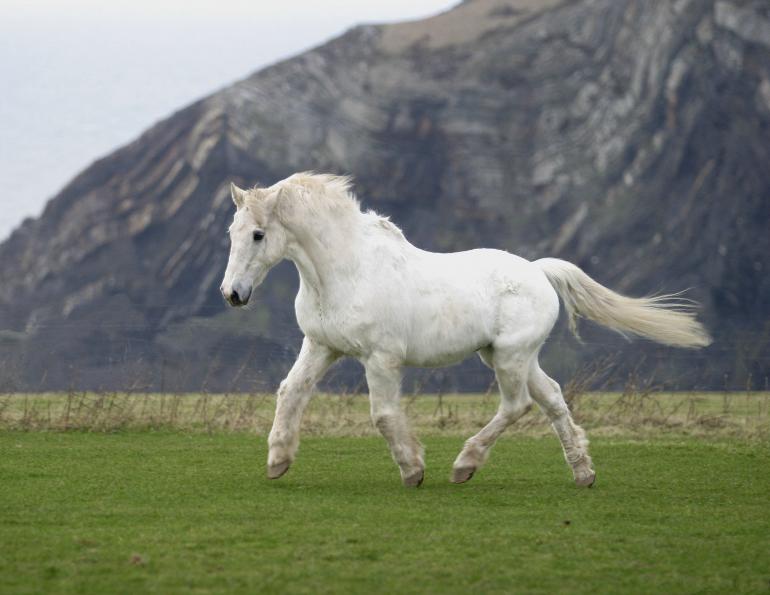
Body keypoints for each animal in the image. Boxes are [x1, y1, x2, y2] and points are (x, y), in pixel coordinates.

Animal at [218, 172, 708, 488]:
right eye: (232, 232)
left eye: (258, 234)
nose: (232, 294)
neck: (346, 270)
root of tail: (538, 271)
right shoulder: (320, 346)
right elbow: (291, 392)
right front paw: (278, 460)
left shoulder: (381, 359)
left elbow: (382, 415)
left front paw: (413, 470)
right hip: (513, 357)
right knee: (551, 398)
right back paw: (583, 472)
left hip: (509, 358)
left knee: (517, 405)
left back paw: (464, 464)